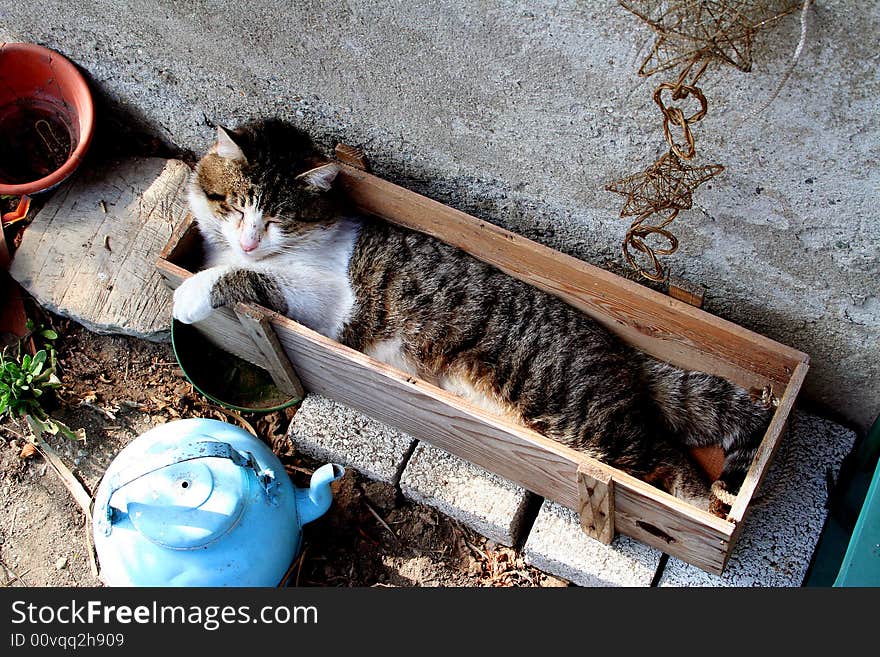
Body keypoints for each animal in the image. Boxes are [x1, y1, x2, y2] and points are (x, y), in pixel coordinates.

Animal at [174, 116, 776, 508]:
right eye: (237, 206)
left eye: (277, 219)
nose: (250, 240)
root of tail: (623, 352)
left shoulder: (321, 297)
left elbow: (251, 280)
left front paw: (190, 295)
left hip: (579, 421)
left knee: (666, 455)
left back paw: (699, 504)